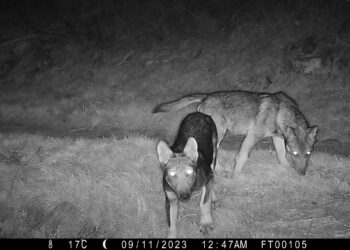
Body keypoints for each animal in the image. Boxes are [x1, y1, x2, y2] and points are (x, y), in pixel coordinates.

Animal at [153, 90, 318, 176]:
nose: (302, 174)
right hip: (218, 134)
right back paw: (220, 171)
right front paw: (236, 175)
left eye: (308, 154)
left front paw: (286, 169)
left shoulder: (277, 137)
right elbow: (242, 156)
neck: (280, 113)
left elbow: (281, 154)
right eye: (295, 154)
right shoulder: (253, 136)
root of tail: (205, 97)